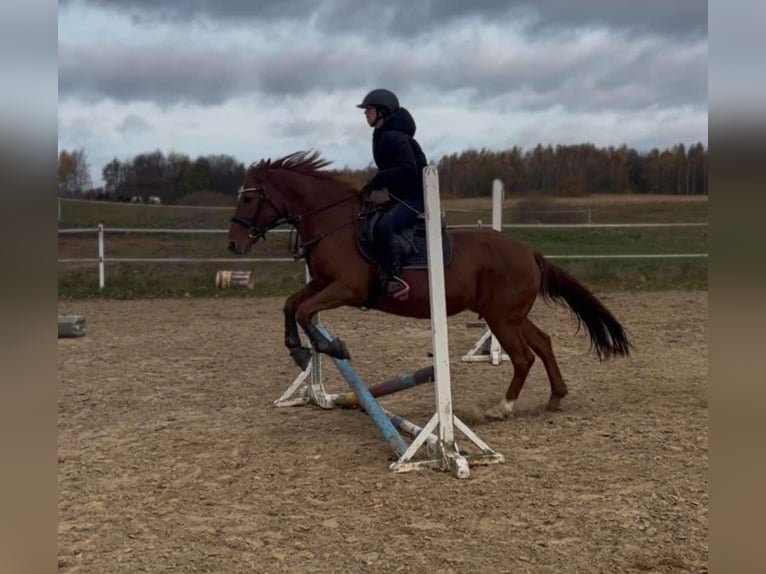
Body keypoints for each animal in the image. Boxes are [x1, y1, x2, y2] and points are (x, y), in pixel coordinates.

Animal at [227, 151, 631, 416]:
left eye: (248, 198)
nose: (233, 245)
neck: (335, 224)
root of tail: (529, 251)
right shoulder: (322, 284)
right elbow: (292, 305)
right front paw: (299, 350)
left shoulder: (345, 290)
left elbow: (306, 313)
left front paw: (332, 347)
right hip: (509, 314)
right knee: (543, 344)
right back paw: (556, 397)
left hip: (501, 318)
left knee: (522, 356)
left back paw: (503, 407)